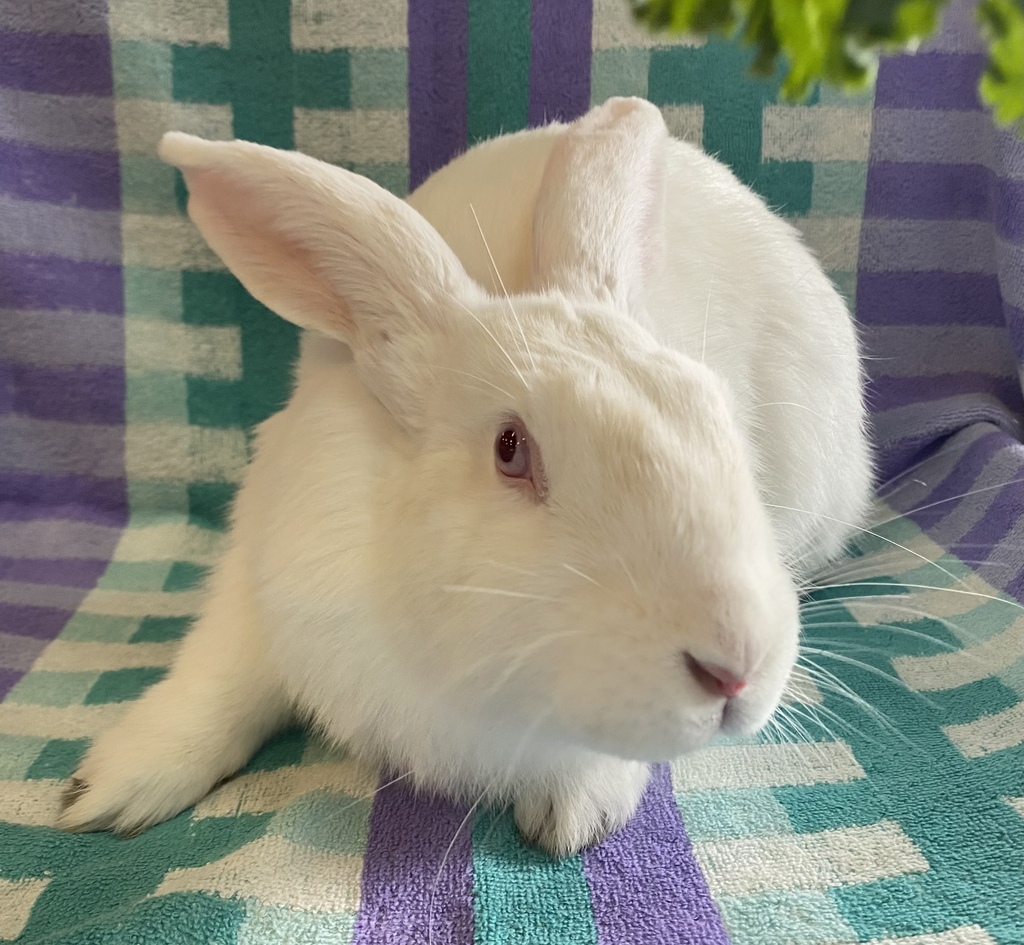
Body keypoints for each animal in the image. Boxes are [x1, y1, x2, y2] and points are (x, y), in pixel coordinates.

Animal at [57, 97, 871, 857]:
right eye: (511, 449)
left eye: (717, 412)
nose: (737, 670)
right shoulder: (260, 582)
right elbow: (221, 676)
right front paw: (104, 788)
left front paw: (576, 810)